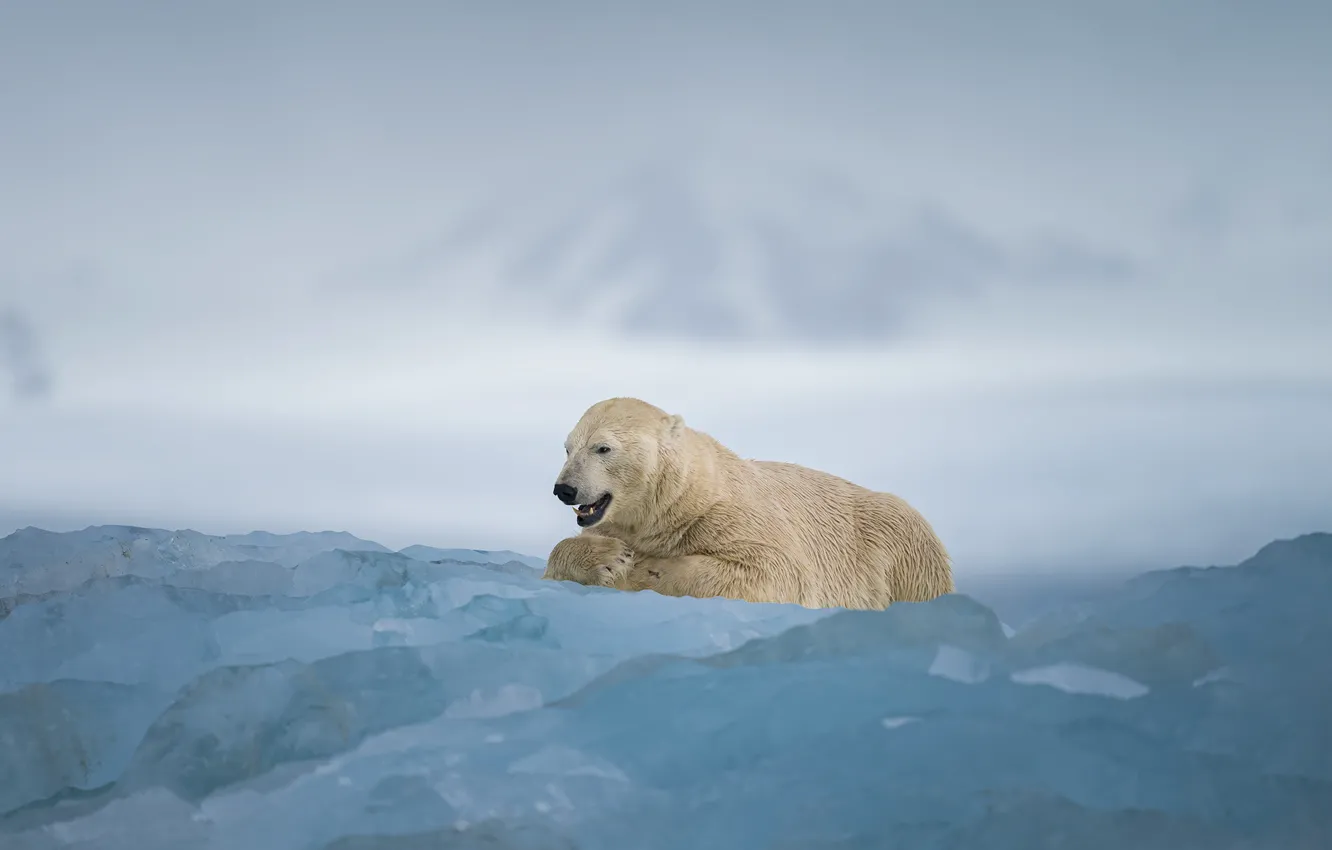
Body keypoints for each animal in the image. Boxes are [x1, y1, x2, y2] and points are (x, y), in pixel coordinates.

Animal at [541, 397, 954, 609]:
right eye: (568, 448)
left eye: (603, 448)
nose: (565, 489)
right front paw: (609, 558)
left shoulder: (731, 517)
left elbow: (774, 570)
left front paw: (644, 568)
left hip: (901, 544)